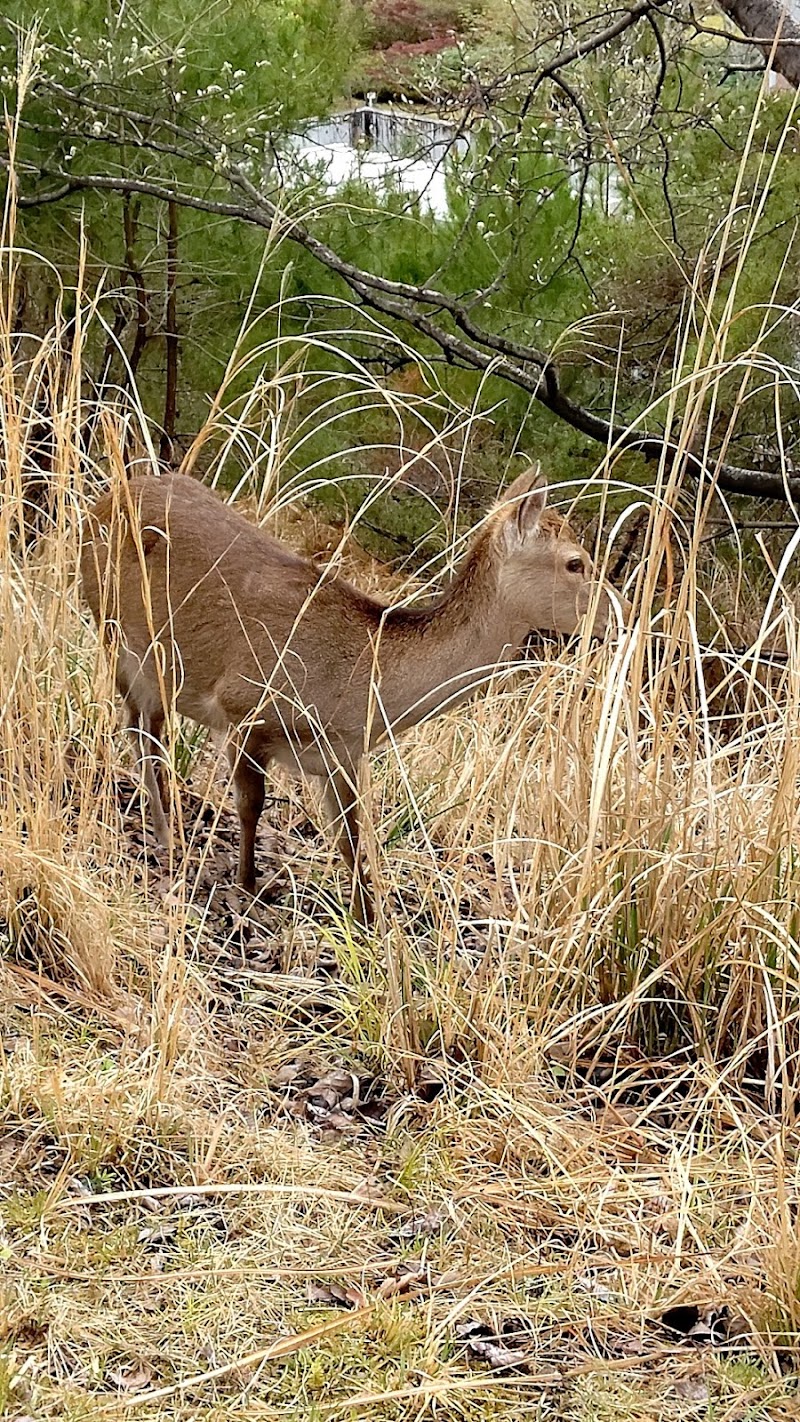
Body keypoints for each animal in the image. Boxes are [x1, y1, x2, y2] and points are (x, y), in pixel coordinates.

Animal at [79, 460, 625, 915]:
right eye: (576, 561)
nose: (619, 616)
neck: (360, 687)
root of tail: (107, 496)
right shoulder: (245, 707)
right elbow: (252, 807)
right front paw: (246, 885)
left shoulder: (341, 755)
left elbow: (353, 840)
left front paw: (368, 922)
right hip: (116, 632)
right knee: (142, 730)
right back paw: (164, 836)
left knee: (147, 730)